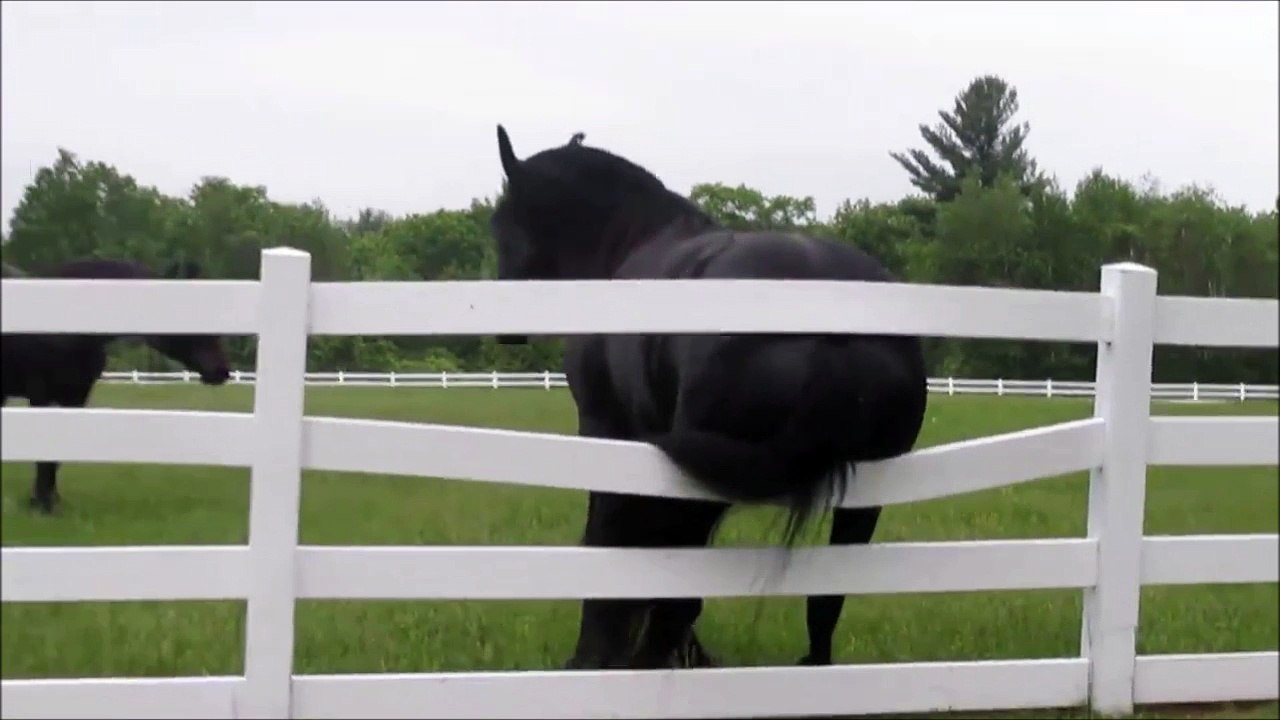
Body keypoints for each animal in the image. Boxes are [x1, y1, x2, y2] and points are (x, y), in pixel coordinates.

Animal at [1, 257, 232, 513]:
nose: (221, 371)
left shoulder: (76, 397)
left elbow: (55, 455)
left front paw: (48, 500)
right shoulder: (40, 395)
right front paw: (42, 504)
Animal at [487, 126, 929, 671]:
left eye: (501, 220)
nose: (507, 327)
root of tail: (829, 329)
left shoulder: (607, 431)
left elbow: (612, 537)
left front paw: (594, 654)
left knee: (680, 591)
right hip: (865, 495)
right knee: (826, 601)